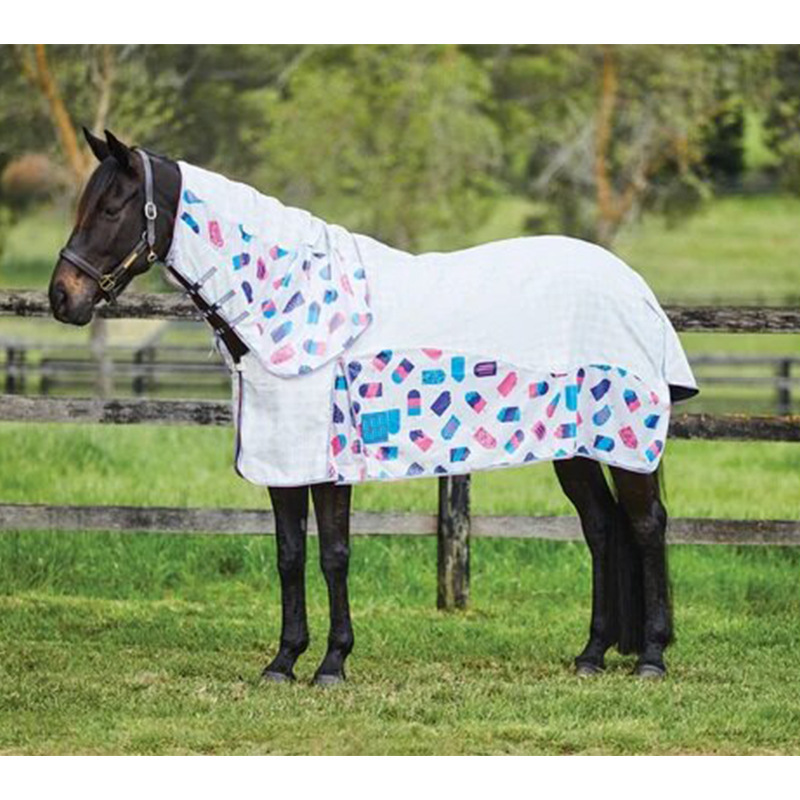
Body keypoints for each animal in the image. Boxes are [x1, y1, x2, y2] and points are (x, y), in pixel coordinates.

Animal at [49, 128, 697, 684]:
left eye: (112, 209)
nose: (62, 297)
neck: (290, 300)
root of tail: (635, 288)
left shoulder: (329, 465)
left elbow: (334, 554)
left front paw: (333, 663)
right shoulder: (282, 462)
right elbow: (289, 555)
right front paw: (283, 661)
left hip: (623, 443)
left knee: (646, 525)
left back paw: (652, 656)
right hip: (575, 446)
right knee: (601, 527)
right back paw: (592, 653)